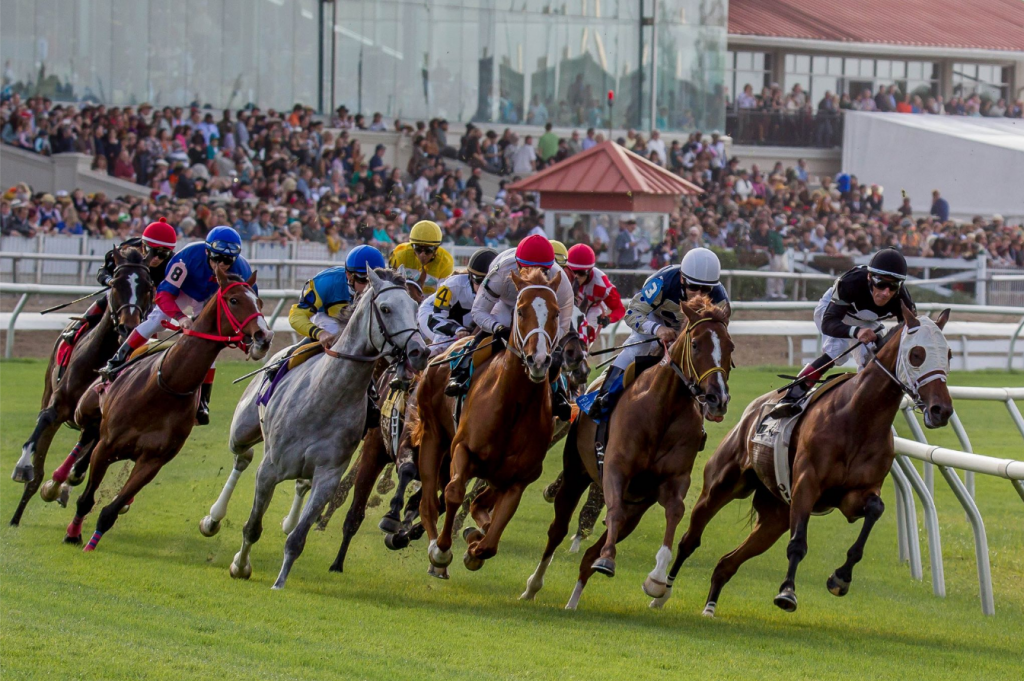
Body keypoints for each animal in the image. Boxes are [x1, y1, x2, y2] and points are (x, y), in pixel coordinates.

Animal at [9, 248, 154, 524]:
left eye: (148, 287)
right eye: (115, 284)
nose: (128, 326)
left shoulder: (103, 418)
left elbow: (86, 456)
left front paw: (65, 481)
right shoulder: (59, 402)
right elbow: (45, 421)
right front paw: (23, 466)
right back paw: (21, 511)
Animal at [62, 268, 272, 548]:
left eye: (259, 302)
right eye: (234, 300)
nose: (264, 337)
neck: (165, 386)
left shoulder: (153, 461)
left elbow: (110, 512)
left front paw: (92, 543)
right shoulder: (107, 447)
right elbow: (86, 499)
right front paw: (74, 534)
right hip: (84, 411)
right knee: (88, 434)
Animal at [413, 268, 561, 577]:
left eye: (555, 313)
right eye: (520, 310)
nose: (539, 360)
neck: (513, 406)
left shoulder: (519, 478)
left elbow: (491, 542)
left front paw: (474, 550)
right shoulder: (463, 449)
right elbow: (453, 492)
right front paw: (442, 551)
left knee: (479, 505)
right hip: (433, 436)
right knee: (429, 500)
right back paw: (435, 550)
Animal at [520, 294, 737, 606]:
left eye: (730, 346)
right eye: (696, 344)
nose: (717, 398)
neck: (664, 409)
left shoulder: (672, 480)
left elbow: (676, 511)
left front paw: (657, 579)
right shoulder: (615, 468)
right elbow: (613, 512)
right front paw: (608, 560)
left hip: (637, 505)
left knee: (589, 555)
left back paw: (573, 601)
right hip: (576, 473)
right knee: (557, 530)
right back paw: (532, 586)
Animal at [655, 303, 950, 614]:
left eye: (949, 354)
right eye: (917, 354)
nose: (941, 410)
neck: (859, 417)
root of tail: (752, 410)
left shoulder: (854, 495)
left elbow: (875, 510)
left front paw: (840, 577)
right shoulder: (806, 484)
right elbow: (798, 543)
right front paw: (787, 592)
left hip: (776, 515)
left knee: (727, 562)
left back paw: (710, 607)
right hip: (721, 486)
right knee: (690, 540)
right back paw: (661, 590)